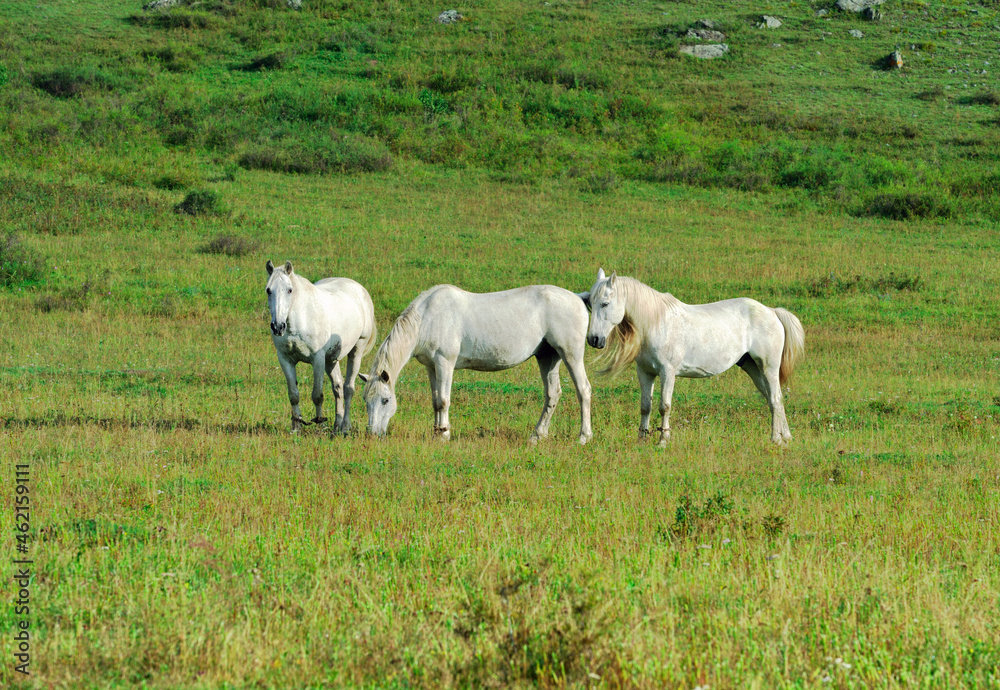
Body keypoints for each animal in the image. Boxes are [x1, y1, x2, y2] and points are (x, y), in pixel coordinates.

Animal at [264, 260, 376, 432]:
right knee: (338, 388)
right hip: (331, 359)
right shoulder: (285, 360)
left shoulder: (317, 359)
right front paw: (296, 426)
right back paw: (337, 424)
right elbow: (293, 395)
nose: (277, 326)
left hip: (356, 350)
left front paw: (320, 423)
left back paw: (345, 426)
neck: (300, 320)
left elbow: (317, 395)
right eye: (269, 290)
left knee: (348, 388)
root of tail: (360, 289)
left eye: (289, 290)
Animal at [362, 282, 588, 444]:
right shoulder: (431, 367)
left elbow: (443, 400)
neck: (427, 317)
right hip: (548, 357)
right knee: (553, 394)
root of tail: (578, 297)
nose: (372, 434)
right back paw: (537, 435)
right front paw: (436, 432)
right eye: (366, 400)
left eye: (386, 400)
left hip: (571, 355)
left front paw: (444, 434)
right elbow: (435, 401)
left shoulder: (445, 363)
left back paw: (583, 437)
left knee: (583, 390)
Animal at [580, 266, 804, 444]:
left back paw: (776, 439)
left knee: (775, 398)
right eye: (590, 303)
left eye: (605, 303)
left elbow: (664, 406)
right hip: (752, 367)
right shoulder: (645, 373)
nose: (594, 339)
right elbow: (645, 406)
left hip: (768, 367)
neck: (657, 323)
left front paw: (663, 440)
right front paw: (641, 439)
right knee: (774, 399)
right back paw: (786, 437)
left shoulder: (667, 372)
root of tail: (772, 312)